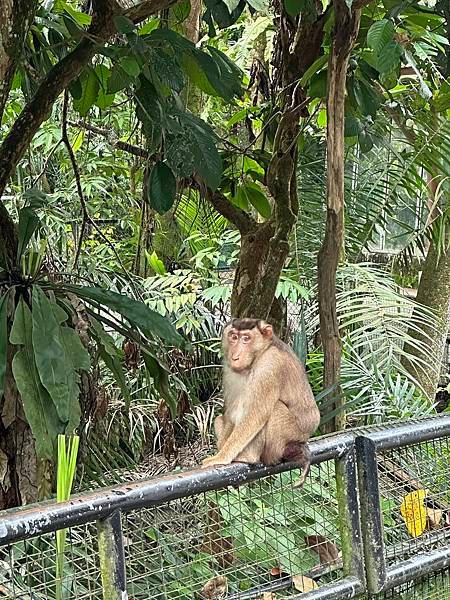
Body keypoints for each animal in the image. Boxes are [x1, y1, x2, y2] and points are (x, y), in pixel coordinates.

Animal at [200, 318, 320, 488]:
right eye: (233, 337)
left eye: (246, 338)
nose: (235, 356)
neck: (260, 354)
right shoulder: (229, 371)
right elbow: (230, 414)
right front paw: (222, 449)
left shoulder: (269, 366)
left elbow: (255, 415)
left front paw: (221, 457)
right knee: (220, 418)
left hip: (294, 433)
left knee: (273, 410)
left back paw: (250, 457)